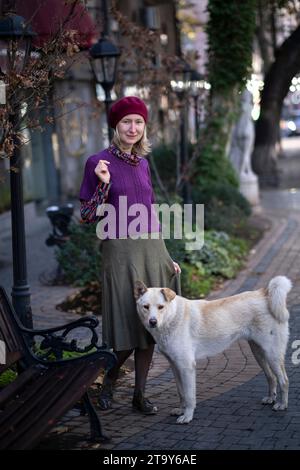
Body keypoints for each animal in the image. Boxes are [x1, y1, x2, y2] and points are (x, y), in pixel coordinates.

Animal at [135, 278, 292, 424]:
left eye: (160, 307)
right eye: (146, 307)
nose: (152, 322)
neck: (172, 317)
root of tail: (264, 293)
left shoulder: (186, 367)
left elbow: (189, 396)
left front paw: (187, 416)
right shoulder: (175, 366)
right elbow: (181, 392)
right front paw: (181, 409)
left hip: (272, 354)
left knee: (284, 380)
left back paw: (282, 405)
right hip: (259, 353)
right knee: (271, 377)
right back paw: (271, 398)